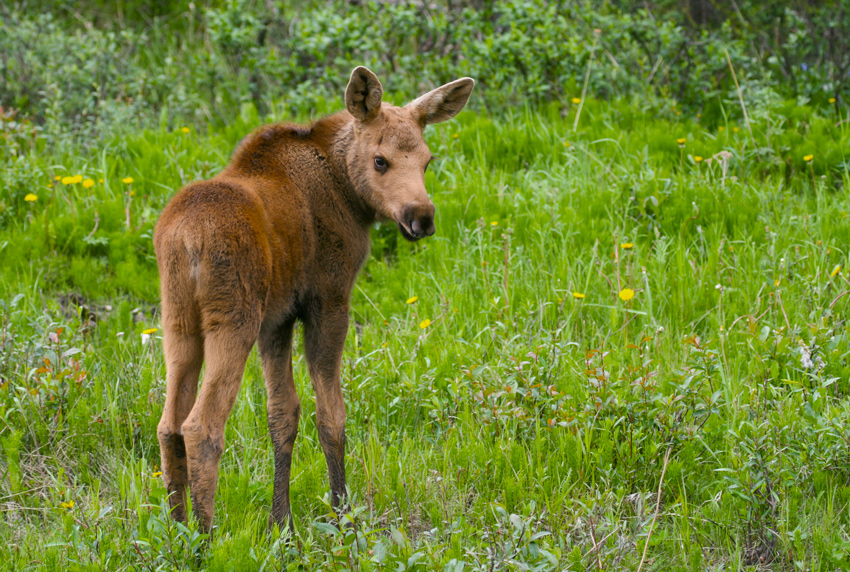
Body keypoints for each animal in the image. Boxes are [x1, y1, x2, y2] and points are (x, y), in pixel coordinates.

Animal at [156, 67, 474, 532]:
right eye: (380, 160)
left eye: (428, 160)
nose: (421, 217)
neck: (349, 194)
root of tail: (184, 240)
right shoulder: (329, 298)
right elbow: (331, 416)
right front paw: (342, 514)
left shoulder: (278, 319)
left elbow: (282, 415)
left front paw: (281, 522)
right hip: (233, 320)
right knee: (201, 425)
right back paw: (205, 536)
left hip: (178, 322)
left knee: (169, 424)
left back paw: (178, 530)